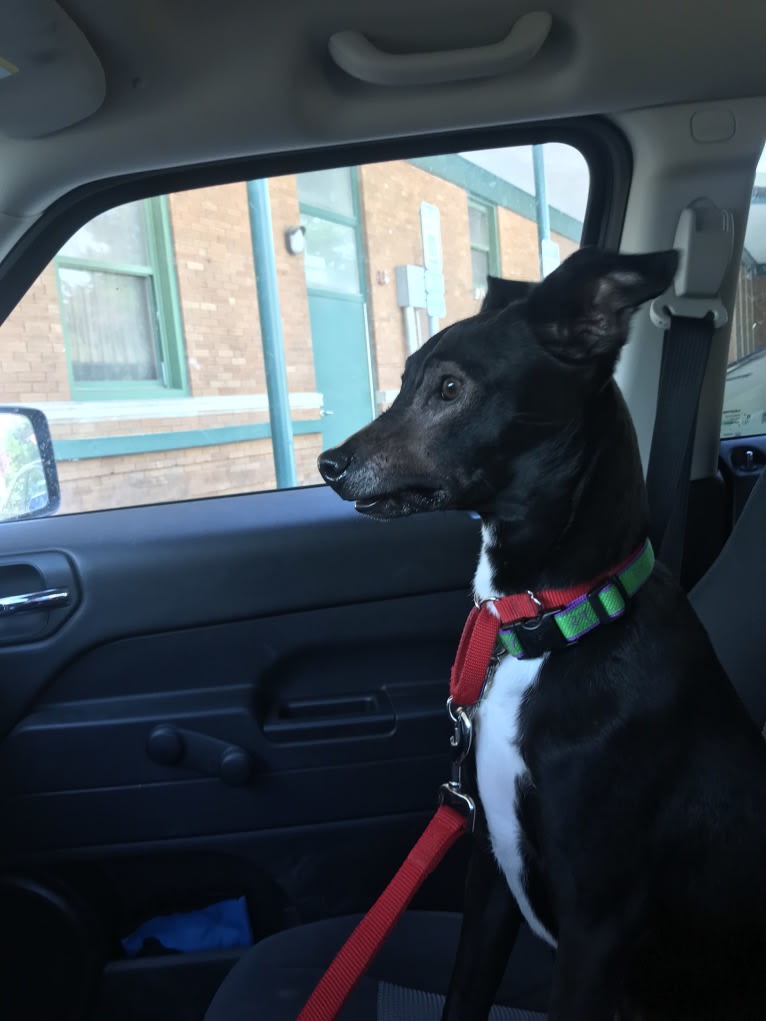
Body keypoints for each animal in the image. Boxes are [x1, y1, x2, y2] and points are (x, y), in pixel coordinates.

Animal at [316, 249, 766, 1021]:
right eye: (404, 381)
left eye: (449, 388)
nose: (328, 464)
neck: (553, 620)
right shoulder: (490, 878)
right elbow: (461, 996)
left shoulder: (596, 927)